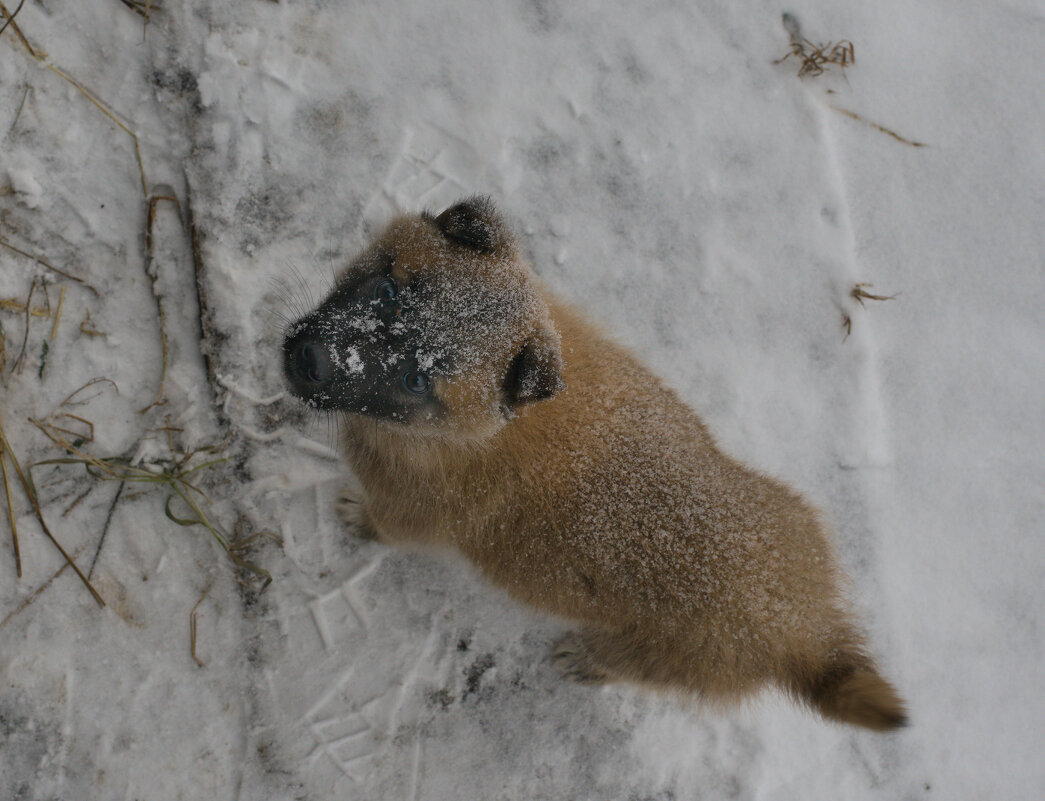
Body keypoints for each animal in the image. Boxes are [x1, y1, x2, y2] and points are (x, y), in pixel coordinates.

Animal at [284, 197, 907, 731]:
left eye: (417, 380)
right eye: (388, 288)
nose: (309, 360)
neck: (478, 431)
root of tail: (804, 630)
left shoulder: (411, 513)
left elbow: (384, 525)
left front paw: (355, 517)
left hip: (653, 655)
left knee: (629, 668)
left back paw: (583, 660)